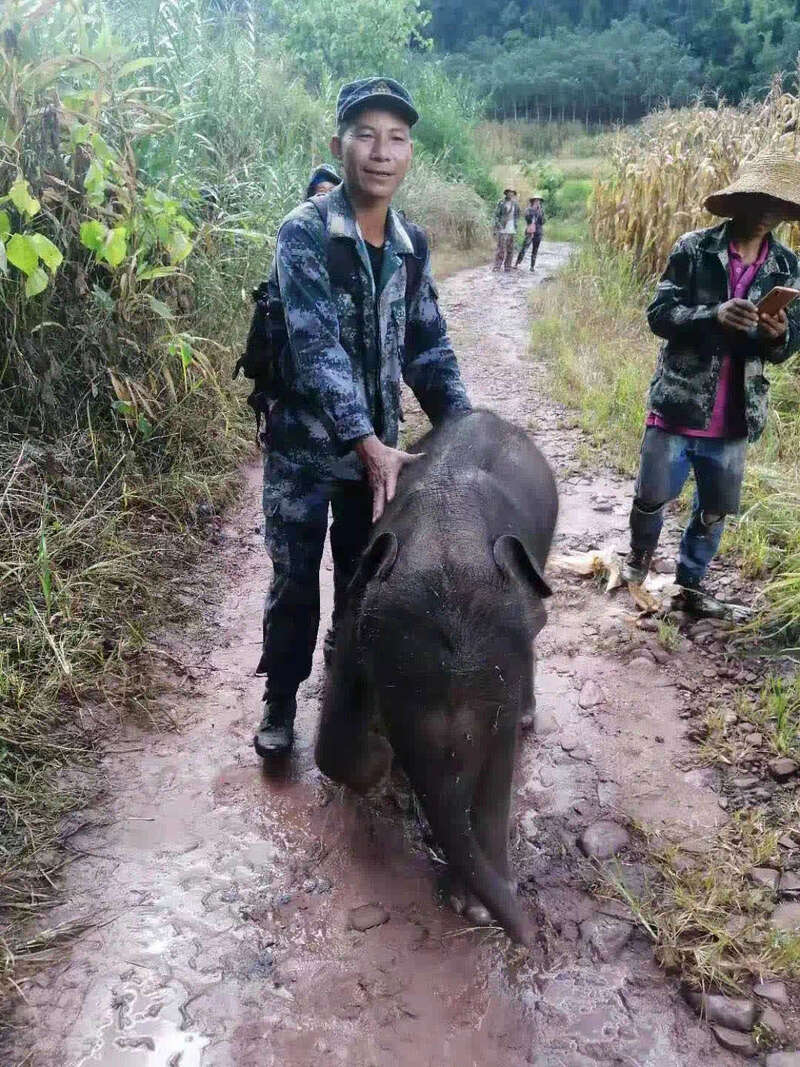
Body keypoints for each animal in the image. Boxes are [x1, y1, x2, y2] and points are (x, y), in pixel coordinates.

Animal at [314, 410, 558, 945]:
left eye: (495, 719)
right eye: (390, 703)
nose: (529, 936)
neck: (448, 536)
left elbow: (501, 765)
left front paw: (478, 908)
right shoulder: (357, 626)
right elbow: (333, 742)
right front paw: (381, 765)